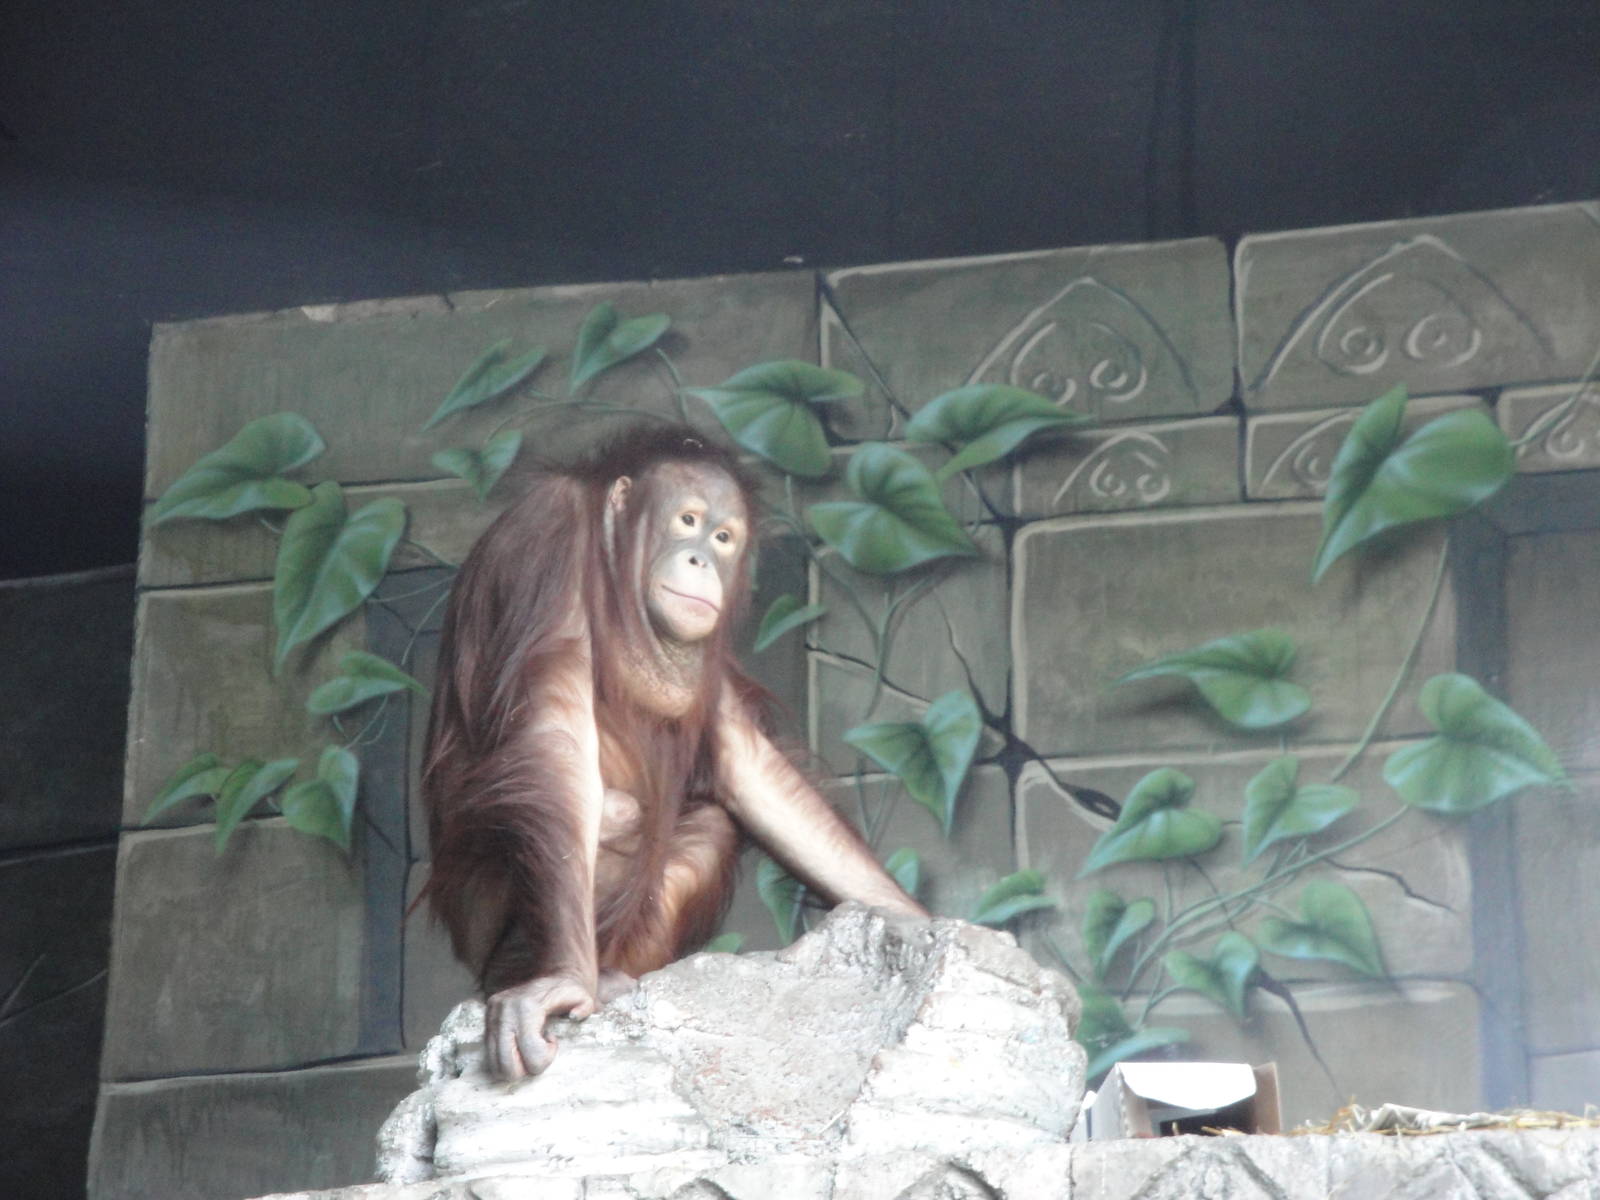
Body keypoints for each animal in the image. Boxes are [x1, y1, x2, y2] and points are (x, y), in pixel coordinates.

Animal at [421, 426, 926, 1080]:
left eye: (723, 536)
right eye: (687, 520)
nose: (701, 560)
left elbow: (750, 766)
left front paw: (910, 916)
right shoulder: (548, 534)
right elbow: (555, 736)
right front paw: (562, 980)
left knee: (710, 825)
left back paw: (613, 977)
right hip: (478, 920)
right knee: (612, 812)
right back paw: (540, 973)